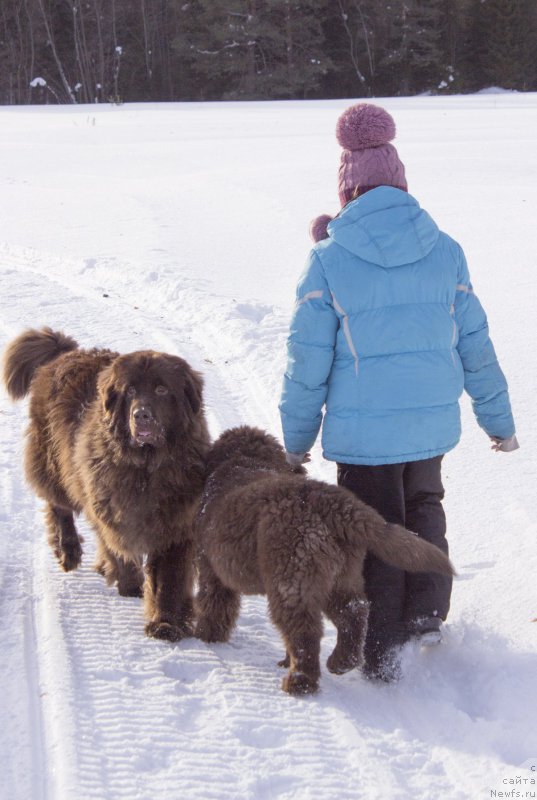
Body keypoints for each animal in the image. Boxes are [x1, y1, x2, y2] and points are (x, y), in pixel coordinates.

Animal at [3, 328, 209, 640]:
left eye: (161, 390)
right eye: (131, 391)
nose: (141, 414)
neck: (146, 467)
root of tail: (66, 352)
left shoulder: (177, 522)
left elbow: (169, 578)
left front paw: (165, 623)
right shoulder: (111, 506)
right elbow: (118, 547)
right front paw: (129, 583)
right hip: (54, 461)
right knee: (59, 506)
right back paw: (68, 549)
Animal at [193, 424, 452, 692]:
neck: (244, 461)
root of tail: (331, 503)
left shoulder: (211, 568)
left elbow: (213, 605)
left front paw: (205, 636)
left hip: (292, 579)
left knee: (304, 630)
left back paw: (300, 682)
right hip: (341, 574)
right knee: (354, 611)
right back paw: (341, 661)